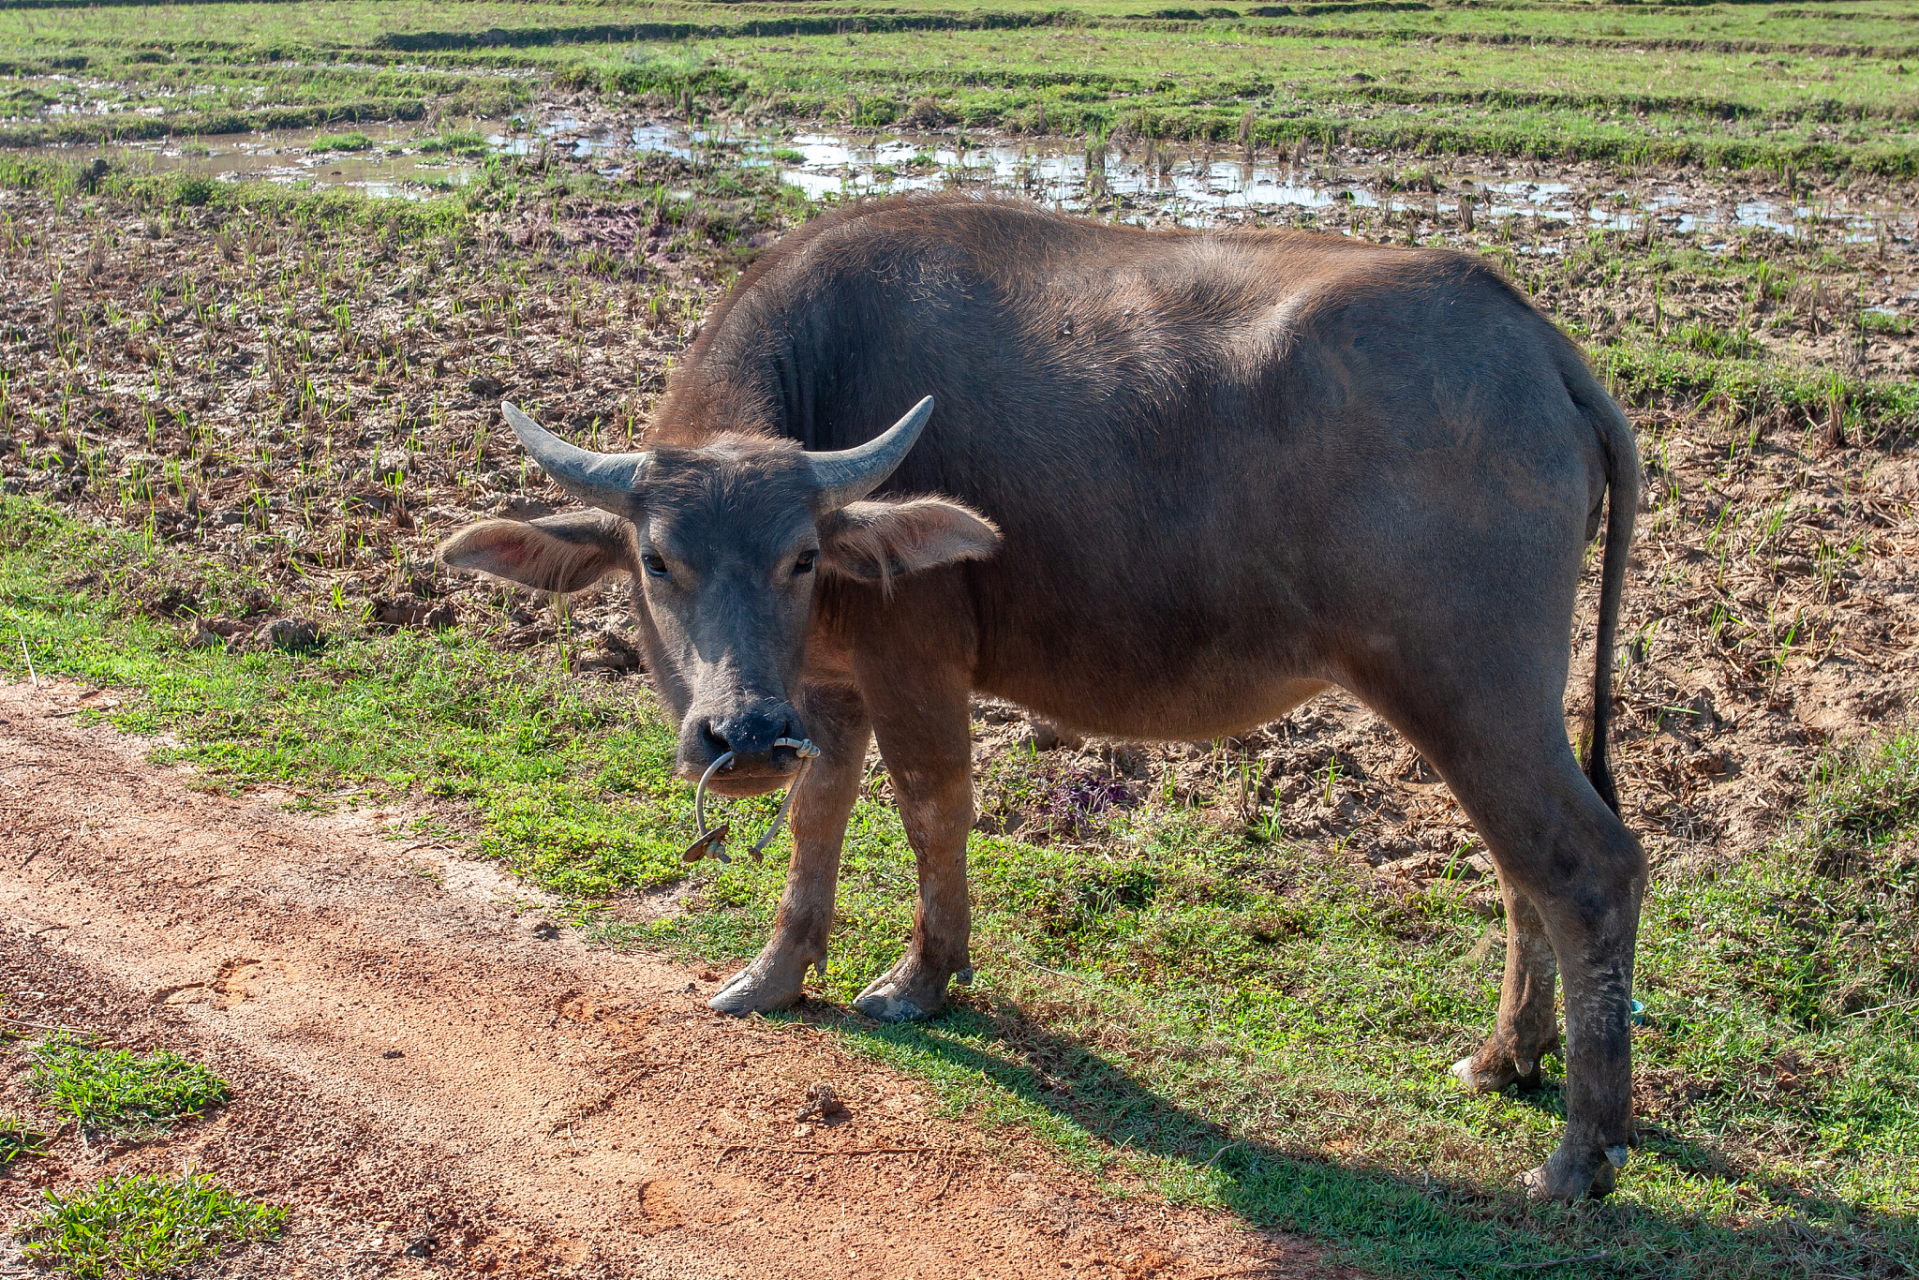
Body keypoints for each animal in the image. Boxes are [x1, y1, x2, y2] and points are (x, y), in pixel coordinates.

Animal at [441, 195, 1642, 1205]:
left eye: (799, 555)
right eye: (657, 559)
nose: (741, 736)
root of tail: (1538, 345)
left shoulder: (912, 666)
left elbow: (931, 808)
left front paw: (921, 978)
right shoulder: (824, 688)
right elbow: (816, 818)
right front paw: (775, 974)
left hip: (1467, 689)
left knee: (1585, 866)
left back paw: (1579, 1153)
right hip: (1487, 709)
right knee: (1520, 871)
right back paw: (1505, 1058)